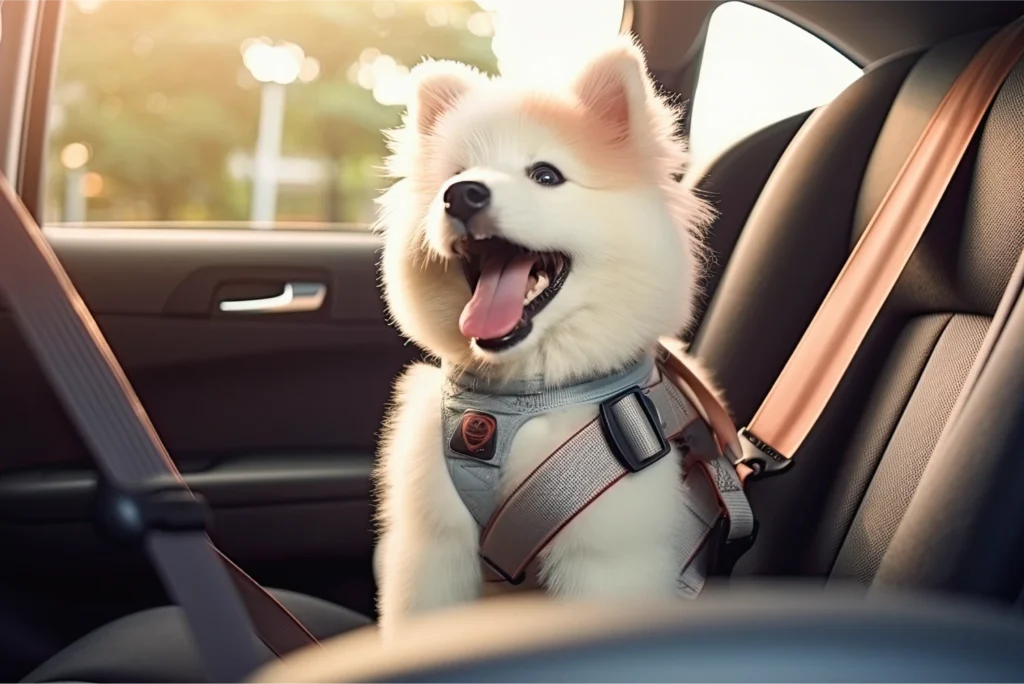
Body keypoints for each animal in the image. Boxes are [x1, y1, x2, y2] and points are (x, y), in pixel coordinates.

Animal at [372, 36, 716, 634]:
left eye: (547, 175)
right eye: (456, 173)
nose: (461, 194)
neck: (524, 398)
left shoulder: (605, 559)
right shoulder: (434, 544)